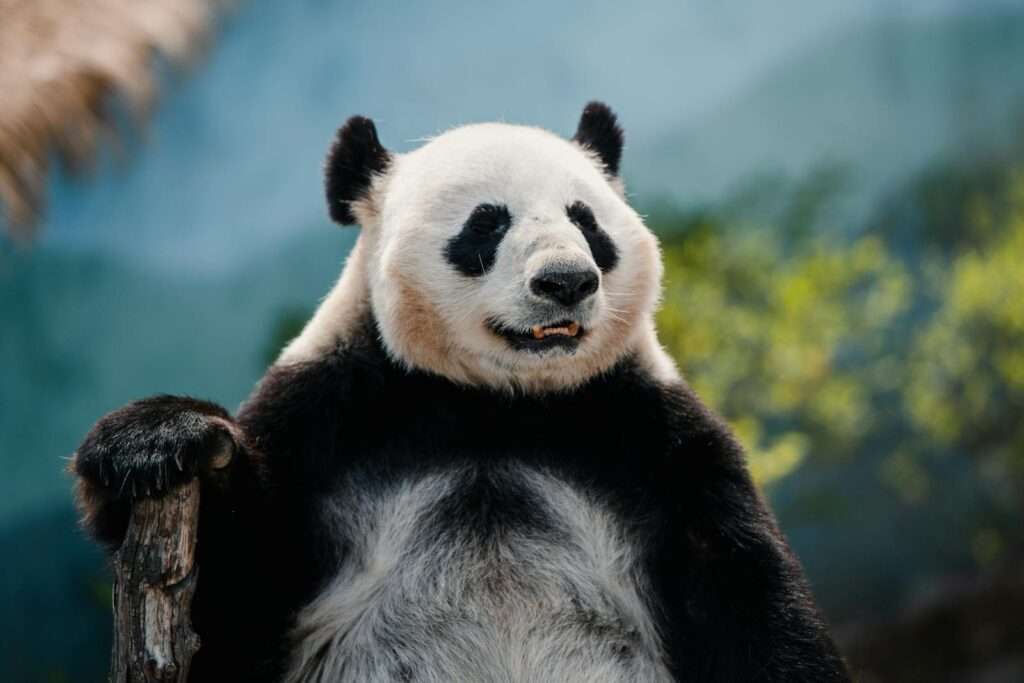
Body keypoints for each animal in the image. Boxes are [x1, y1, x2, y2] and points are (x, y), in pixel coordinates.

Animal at [72, 102, 850, 682]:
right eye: (487, 222)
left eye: (586, 221)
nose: (566, 281)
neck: (495, 404)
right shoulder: (332, 418)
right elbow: (236, 594)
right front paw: (159, 440)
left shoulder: (648, 434)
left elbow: (749, 597)